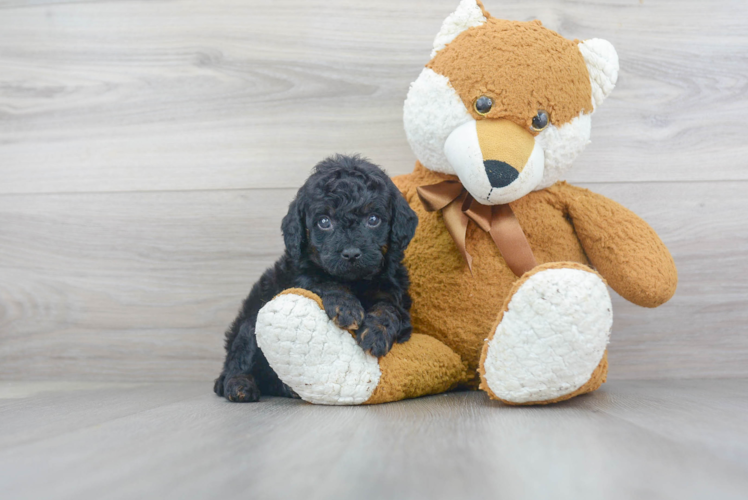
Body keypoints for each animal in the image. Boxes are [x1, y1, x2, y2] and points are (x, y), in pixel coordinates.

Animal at [213, 154, 418, 404]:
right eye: (324, 221)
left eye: (373, 219)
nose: (351, 253)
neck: (355, 282)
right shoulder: (299, 275)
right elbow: (322, 282)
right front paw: (346, 306)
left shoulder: (396, 294)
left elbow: (389, 308)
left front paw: (376, 333)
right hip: (249, 325)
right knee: (239, 359)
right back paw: (239, 385)